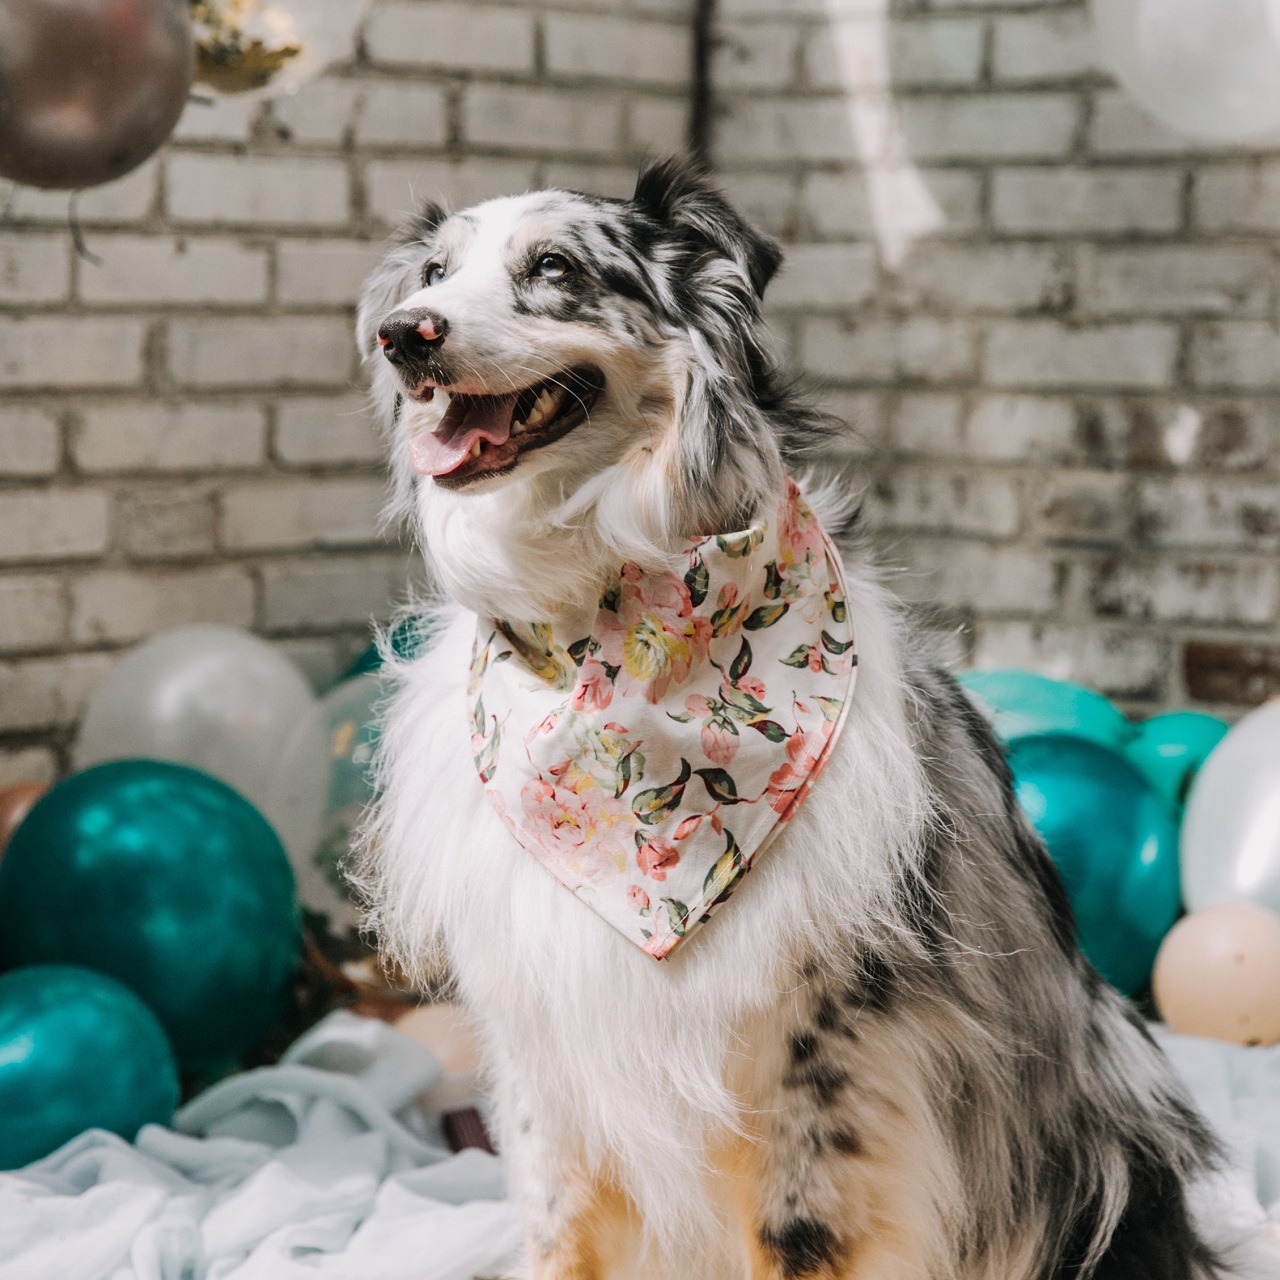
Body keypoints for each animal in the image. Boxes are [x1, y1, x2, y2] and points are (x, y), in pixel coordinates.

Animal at [355, 160, 1223, 1280]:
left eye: (553, 267)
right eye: (432, 274)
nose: (402, 336)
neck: (615, 636)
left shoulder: (820, 1059)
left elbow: (799, 1234)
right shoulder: (546, 1045)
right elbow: (556, 1231)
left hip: (1107, 1141)